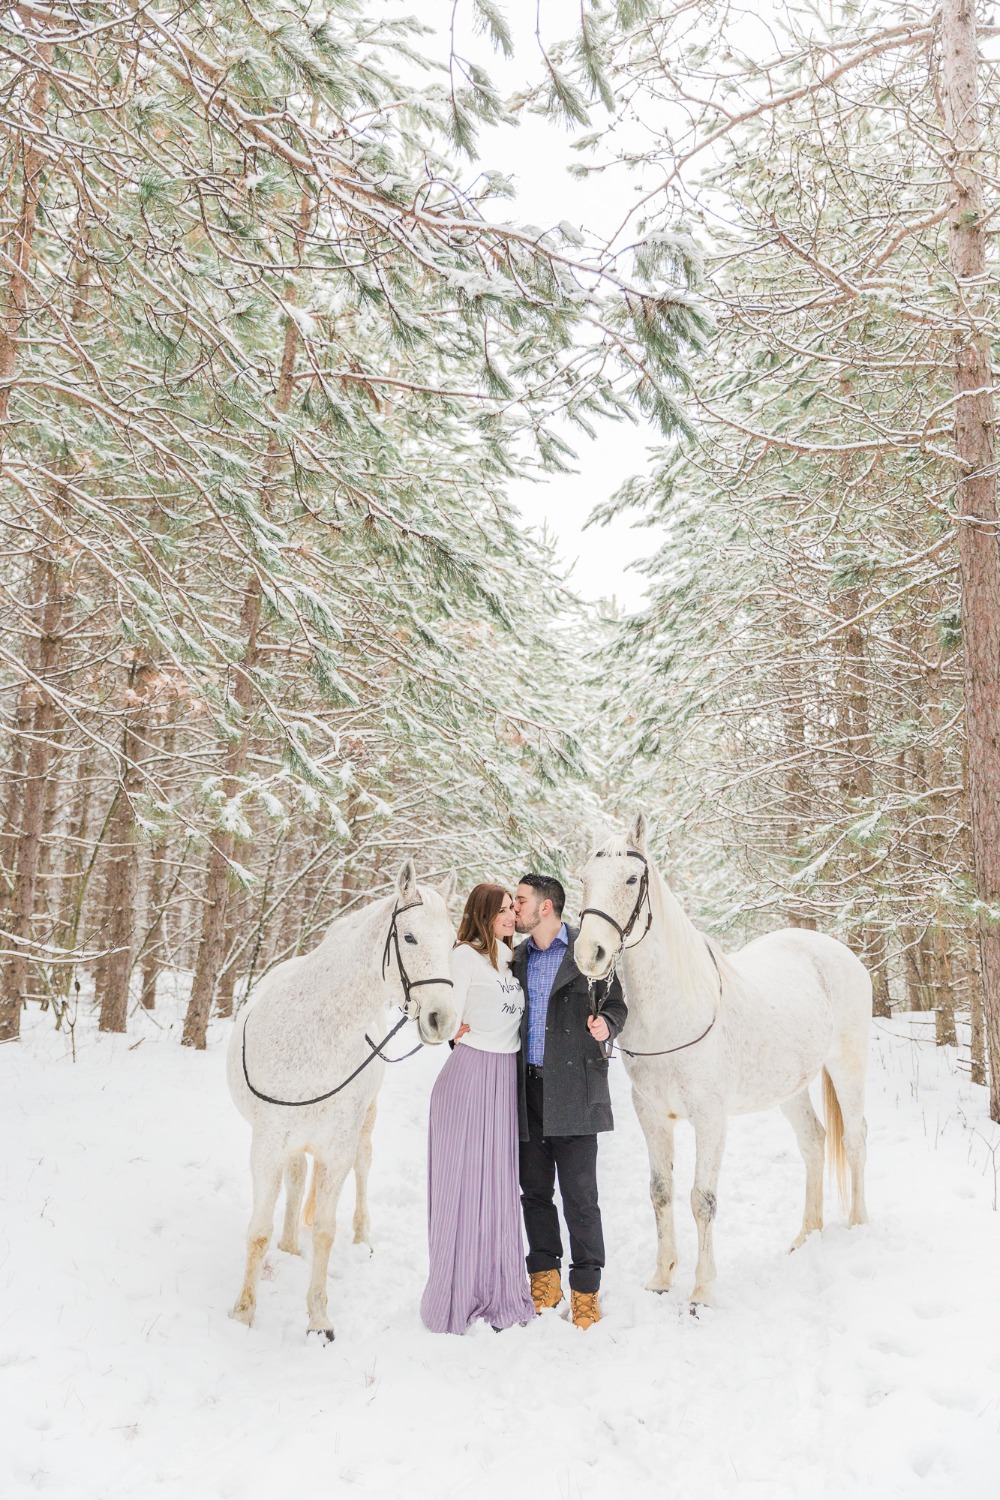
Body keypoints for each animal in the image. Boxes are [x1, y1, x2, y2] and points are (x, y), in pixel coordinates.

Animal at [226, 864, 458, 1344]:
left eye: (451, 941)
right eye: (409, 938)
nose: (441, 1019)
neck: (315, 1031)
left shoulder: (337, 1146)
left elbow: (325, 1233)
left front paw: (318, 1319)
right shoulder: (268, 1145)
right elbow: (258, 1232)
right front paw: (242, 1314)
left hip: (363, 1125)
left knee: (363, 1167)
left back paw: (361, 1236)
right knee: (297, 1179)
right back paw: (289, 1244)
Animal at [575, 816, 869, 1308]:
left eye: (632, 879)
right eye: (584, 879)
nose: (588, 954)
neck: (676, 1010)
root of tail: (835, 949)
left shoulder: (710, 1118)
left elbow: (702, 1199)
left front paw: (702, 1291)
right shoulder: (651, 1114)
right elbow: (660, 1192)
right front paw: (661, 1278)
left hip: (848, 1067)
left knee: (856, 1140)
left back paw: (860, 1226)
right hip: (789, 1086)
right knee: (814, 1141)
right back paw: (805, 1236)